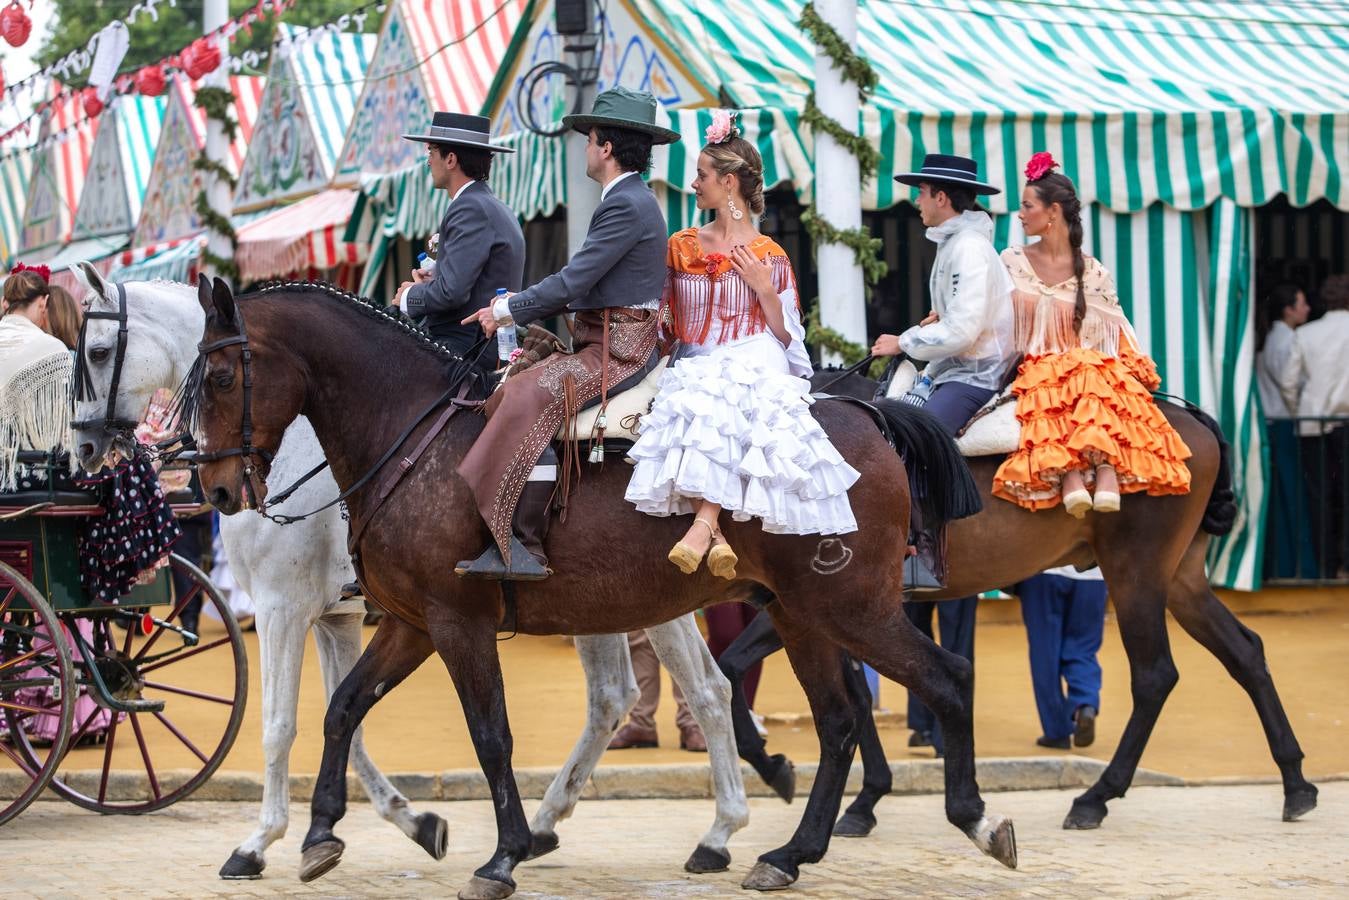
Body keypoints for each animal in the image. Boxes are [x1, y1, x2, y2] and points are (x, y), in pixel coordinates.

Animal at [184, 277, 1014, 895]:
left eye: (220, 376)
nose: (216, 490)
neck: (414, 436)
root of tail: (868, 414)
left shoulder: (449, 622)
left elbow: (487, 734)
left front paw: (502, 855)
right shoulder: (406, 623)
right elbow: (344, 712)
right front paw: (325, 833)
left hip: (849, 606)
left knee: (943, 679)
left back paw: (972, 819)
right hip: (801, 614)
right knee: (836, 721)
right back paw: (786, 853)